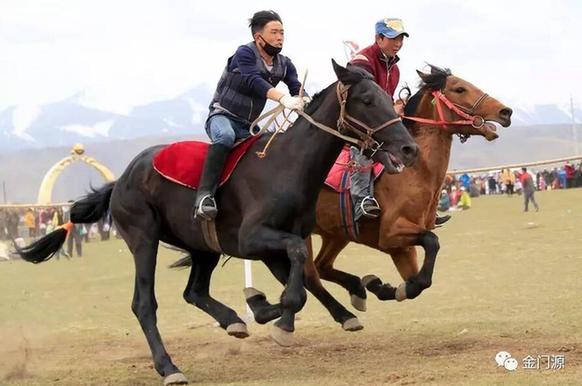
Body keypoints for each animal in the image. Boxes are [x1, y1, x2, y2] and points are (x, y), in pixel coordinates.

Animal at [14, 60, 420, 386]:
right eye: (366, 100)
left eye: (387, 96)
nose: (409, 149)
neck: (287, 165)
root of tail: (123, 179)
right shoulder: (253, 239)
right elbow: (299, 280)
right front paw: (282, 323)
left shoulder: (277, 244)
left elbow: (302, 280)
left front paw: (273, 308)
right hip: (144, 239)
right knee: (144, 303)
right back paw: (169, 367)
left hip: (202, 245)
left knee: (193, 292)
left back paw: (233, 320)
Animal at [304, 64, 512, 328]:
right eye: (459, 88)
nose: (505, 111)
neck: (414, 171)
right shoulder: (392, 234)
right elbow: (432, 243)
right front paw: (385, 286)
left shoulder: (401, 247)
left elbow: (418, 280)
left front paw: (379, 285)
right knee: (311, 276)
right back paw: (345, 315)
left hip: (337, 234)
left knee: (322, 266)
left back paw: (358, 290)